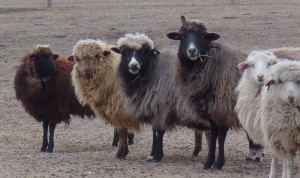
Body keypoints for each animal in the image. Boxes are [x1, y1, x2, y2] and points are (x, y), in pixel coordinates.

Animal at [110, 33, 211, 163]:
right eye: (125, 52)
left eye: (143, 52)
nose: (133, 66)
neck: (154, 71)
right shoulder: (153, 108)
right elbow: (154, 132)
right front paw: (152, 154)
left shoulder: (162, 107)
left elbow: (159, 132)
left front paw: (158, 156)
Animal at [165, 15, 264, 170]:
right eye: (182, 36)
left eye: (202, 36)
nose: (192, 51)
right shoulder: (210, 109)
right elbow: (213, 135)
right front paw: (208, 162)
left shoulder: (223, 109)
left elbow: (221, 137)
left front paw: (218, 163)